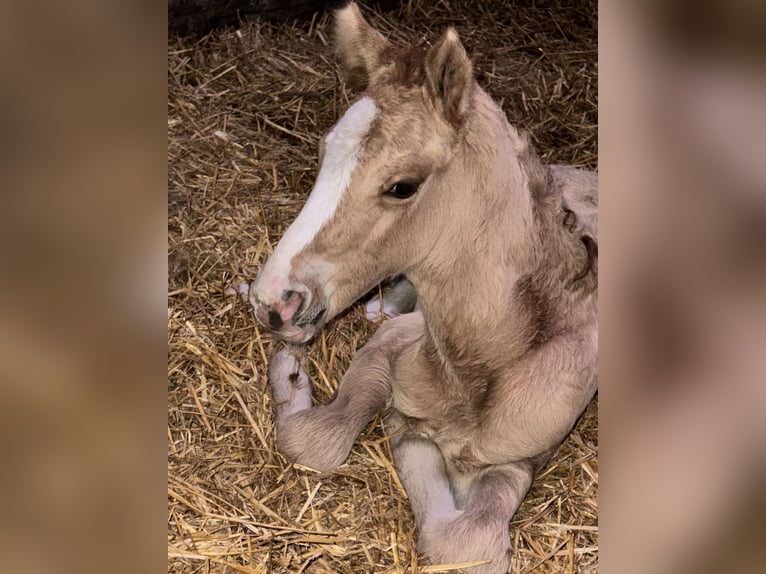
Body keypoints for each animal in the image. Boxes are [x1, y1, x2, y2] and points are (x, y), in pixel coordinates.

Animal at [249, 3, 596, 572]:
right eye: (324, 155)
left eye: (401, 186)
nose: (274, 301)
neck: (480, 368)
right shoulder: (390, 347)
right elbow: (316, 438)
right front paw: (293, 372)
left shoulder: (523, 455)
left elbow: (467, 543)